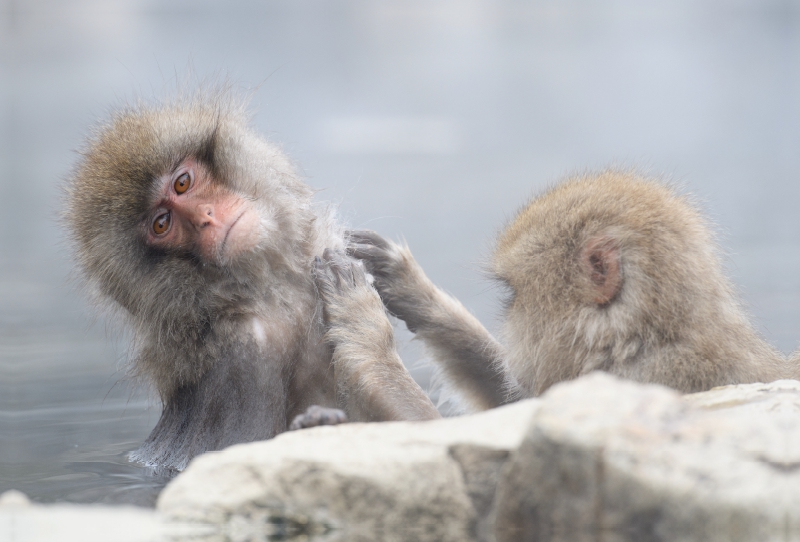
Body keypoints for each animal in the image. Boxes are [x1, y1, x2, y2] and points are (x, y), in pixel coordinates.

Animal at [67, 94, 438, 472]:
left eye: (182, 183)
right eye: (161, 224)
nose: (206, 218)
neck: (270, 291)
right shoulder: (245, 359)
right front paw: (361, 321)